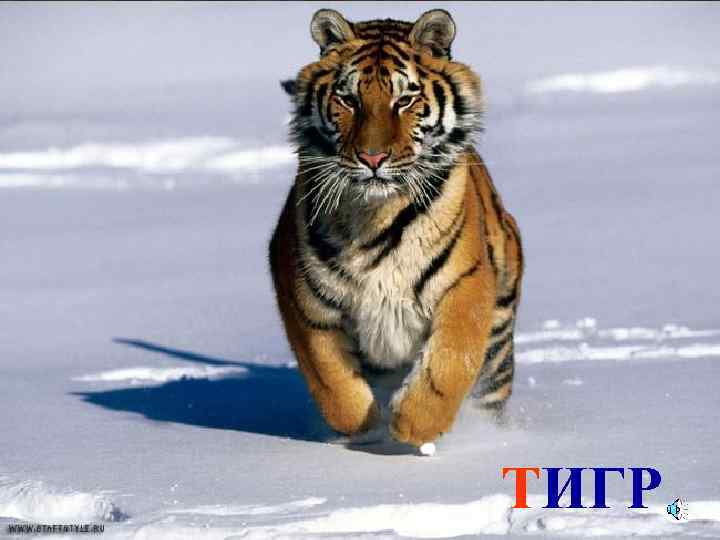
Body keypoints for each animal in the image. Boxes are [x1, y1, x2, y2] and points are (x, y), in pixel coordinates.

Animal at [269, 8, 523, 449]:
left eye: (405, 99)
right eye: (348, 99)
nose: (373, 158)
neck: (375, 214)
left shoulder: (466, 282)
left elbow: (451, 359)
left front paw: (413, 426)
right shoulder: (303, 296)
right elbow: (330, 377)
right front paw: (364, 428)